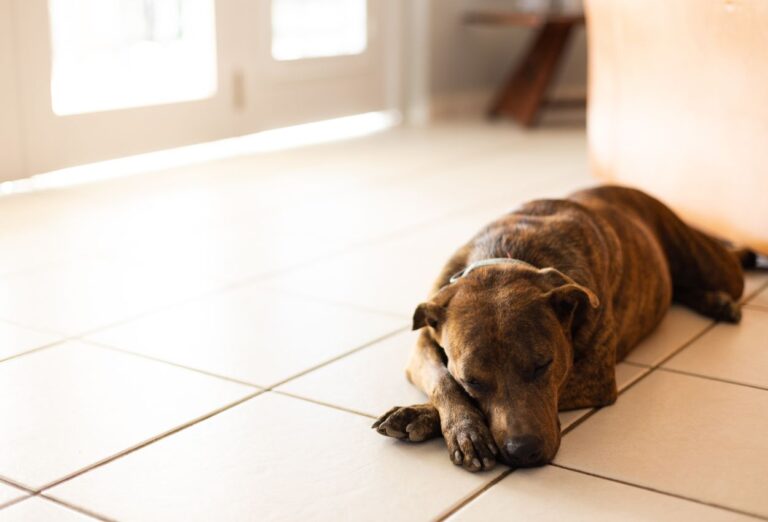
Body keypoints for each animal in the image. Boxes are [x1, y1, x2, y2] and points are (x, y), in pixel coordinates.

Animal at [372, 186, 752, 472]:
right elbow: (443, 380)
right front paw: (452, 424)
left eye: (544, 365)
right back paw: (713, 301)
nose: (523, 451)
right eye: (473, 380)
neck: (509, 253)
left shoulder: (594, 377)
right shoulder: (424, 339)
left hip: (711, 263)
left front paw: (425, 415)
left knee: (734, 260)